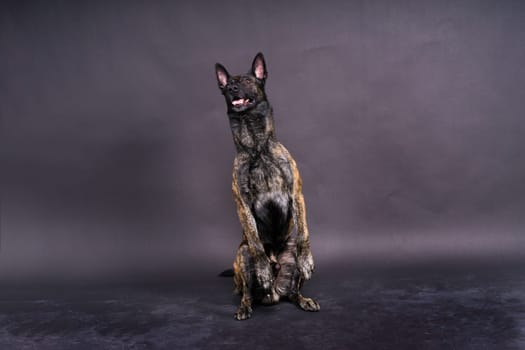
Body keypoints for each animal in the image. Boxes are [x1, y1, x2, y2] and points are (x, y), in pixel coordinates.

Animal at [214, 52, 320, 320]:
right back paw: (246, 304)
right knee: (246, 291)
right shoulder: (242, 204)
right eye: (227, 85)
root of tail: (273, 295)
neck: (257, 148)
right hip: (241, 255)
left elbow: (303, 233)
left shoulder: (296, 195)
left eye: (247, 81)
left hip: (289, 256)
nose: (232, 88)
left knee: (292, 292)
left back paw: (303, 299)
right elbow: (255, 240)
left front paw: (307, 260)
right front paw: (262, 269)